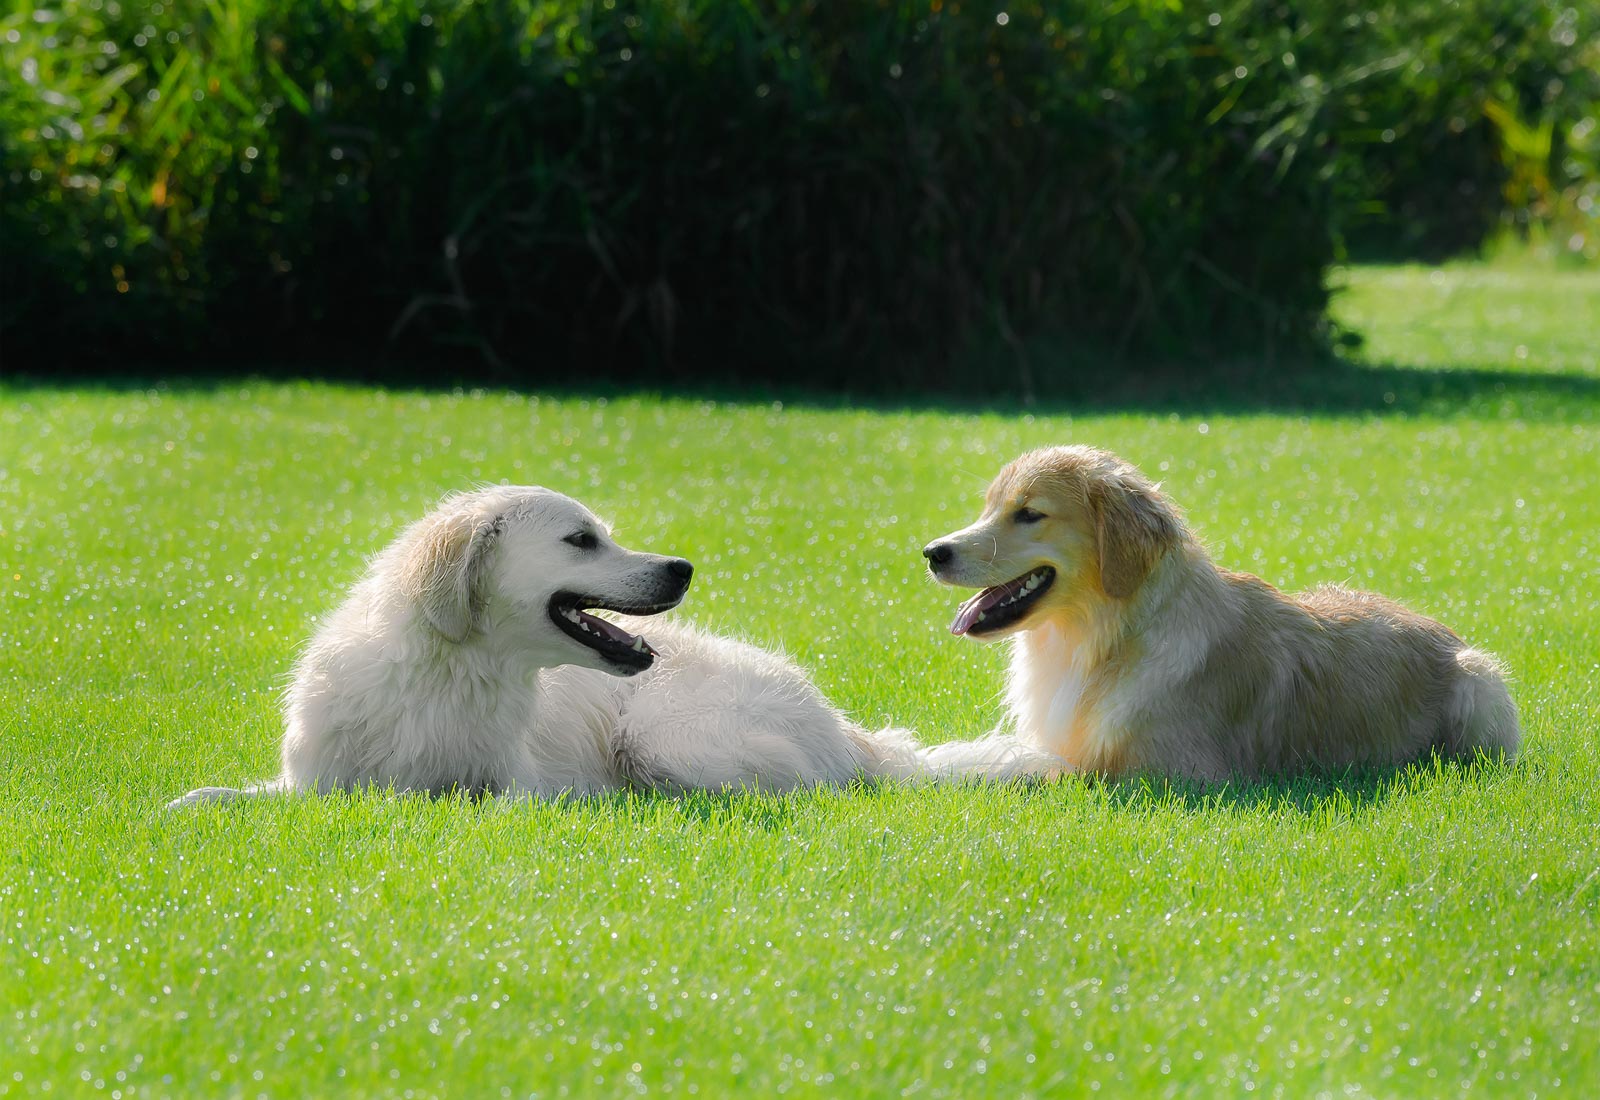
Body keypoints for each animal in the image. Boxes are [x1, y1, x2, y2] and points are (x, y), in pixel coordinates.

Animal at [164, 482, 934, 809]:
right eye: (581, 540)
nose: (682, 568)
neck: (452, 675)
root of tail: (847, 729)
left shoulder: (520, 788)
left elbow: (471, 804)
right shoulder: (310, 781)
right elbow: (206, 798)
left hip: (664, 738)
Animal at [921, 447, 1516, 783]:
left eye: (1029, 514)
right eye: (989, 508)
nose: (932, 552)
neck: (1113, 637)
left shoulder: (1178, 775)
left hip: (1480, 679)